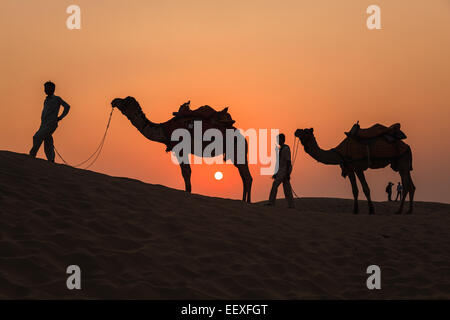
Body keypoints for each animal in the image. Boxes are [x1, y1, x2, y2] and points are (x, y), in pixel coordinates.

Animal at [110, 97, 253, 202]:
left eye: (125, 101)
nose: (114, 101)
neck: (163, 129)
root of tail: (244, 138)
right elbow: (186, 172)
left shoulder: (180, 148)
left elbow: (186, 172)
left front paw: (187, 192)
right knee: (244, 176)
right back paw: (243, 200)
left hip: (237, 151)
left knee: (247, 176)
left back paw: (247, 202)